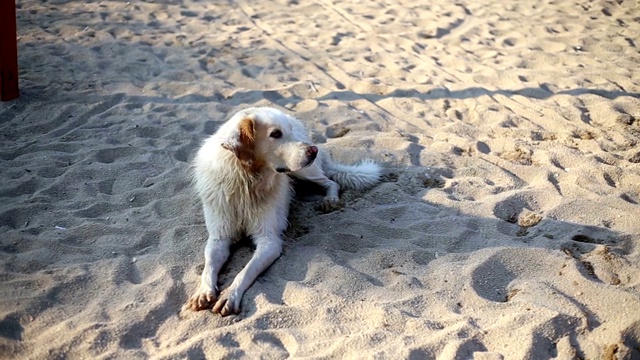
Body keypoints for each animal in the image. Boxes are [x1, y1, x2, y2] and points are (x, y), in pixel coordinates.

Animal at [188, 107, 382, 316]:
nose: (313, 150)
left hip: (304, 172)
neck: (245, 180)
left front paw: (230, 296)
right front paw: (203, 291)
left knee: (330, 181)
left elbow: (245, 271)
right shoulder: (219, 238)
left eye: (287, 131)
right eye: (275, 134)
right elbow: (209, 265)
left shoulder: (269, 241)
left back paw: (330, 200)